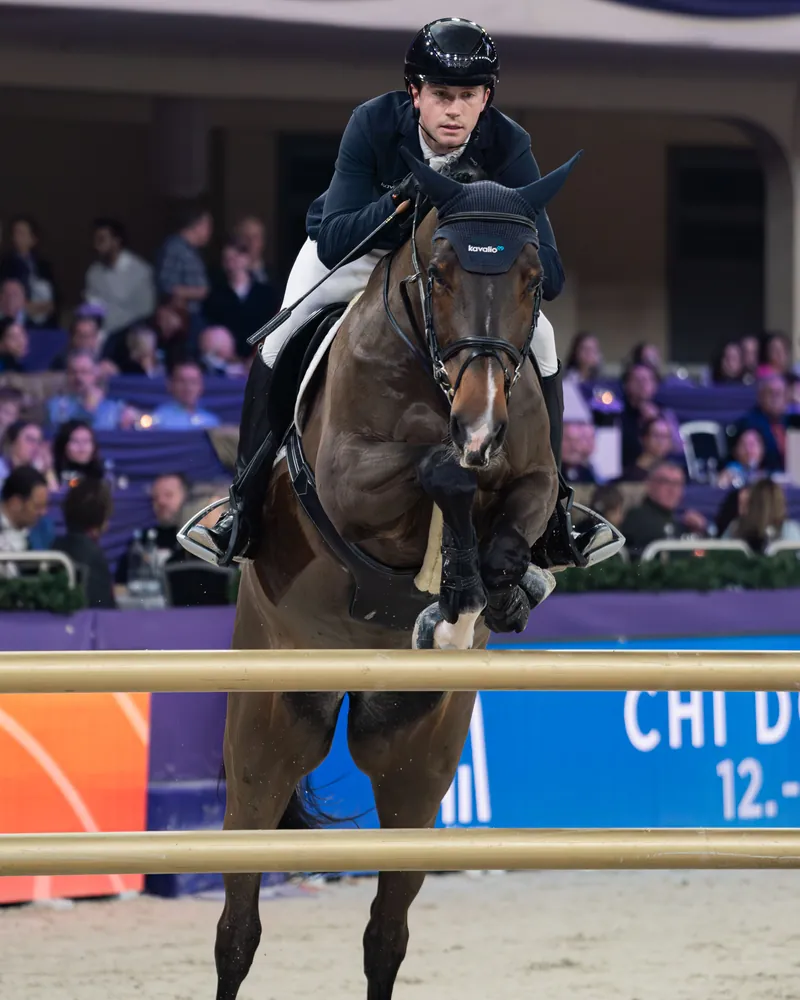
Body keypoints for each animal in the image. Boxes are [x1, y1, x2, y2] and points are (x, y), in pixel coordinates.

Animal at [207, 149, 582, 1000]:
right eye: (438, 273)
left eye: (531, 276)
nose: (481, 425)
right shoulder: (352, 483)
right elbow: (437, 474)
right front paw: (460, 580)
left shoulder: (532, 475)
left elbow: (509, 515)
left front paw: (491, 589)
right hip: (268, 730)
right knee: (238, 923)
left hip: (416, 757)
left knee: (387, 930)